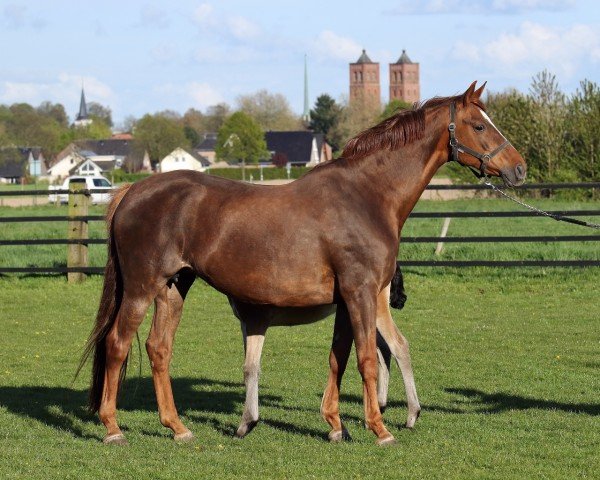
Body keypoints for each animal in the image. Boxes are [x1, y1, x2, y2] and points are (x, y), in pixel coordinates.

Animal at [78, 80, 524, 444]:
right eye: (479, 126)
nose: (519, 169)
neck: (366, 195)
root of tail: (132, 191)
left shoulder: (347, 300)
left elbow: (339, 358)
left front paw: (336, 425)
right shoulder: (361, 294)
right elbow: (367, 360)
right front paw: (379, 429)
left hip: (173, 287)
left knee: (158, 349)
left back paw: (178, 428)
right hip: (141, 287)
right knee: (117, 344)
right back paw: (113, 428)